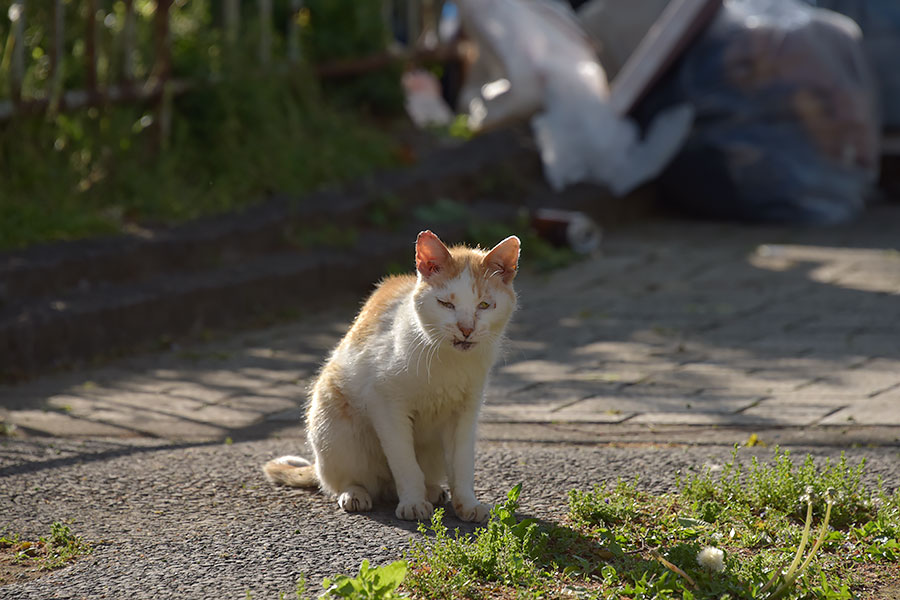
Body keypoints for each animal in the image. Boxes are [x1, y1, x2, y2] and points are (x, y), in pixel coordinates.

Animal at [264, 230, 520, 520]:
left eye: (485, 305)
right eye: (445, 303)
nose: (466, 329)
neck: (448, 362)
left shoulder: (466, 412)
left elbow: (463, 464)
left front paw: (467, 504)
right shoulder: (385, 404)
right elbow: (405, 463)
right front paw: (413, 503)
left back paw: (432, 491)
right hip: (334, 425)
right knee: (342, 480)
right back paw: (355, 494)